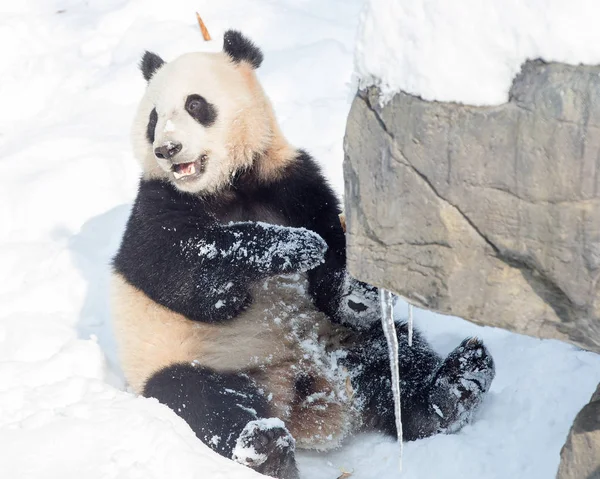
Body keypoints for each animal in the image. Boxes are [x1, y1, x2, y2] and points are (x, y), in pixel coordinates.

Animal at [112, 31, 496, 479]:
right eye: (153, 118)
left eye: (195, 105)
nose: (167, 149)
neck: (228, 185)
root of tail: (299, 397)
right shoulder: (156, 205)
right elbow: (185, 274)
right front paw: (294, 246)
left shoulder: (293, 180)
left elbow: (332, 273)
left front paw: (359, 286)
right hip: (190, 360)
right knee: (201, 400)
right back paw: (265, 447)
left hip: (349, 344)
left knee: (397, 357)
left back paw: (454, 388)